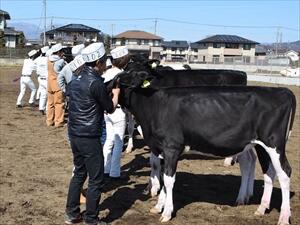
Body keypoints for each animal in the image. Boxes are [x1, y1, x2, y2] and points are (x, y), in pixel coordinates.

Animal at [116, 69, 296, 224]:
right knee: (262, 169)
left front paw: (165, 209)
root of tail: (282, 91)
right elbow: (160, 173)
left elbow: (166, 177)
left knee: (284, 173)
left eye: (124, 80)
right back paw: (255, 205)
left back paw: (283, 216)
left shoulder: (171, 148)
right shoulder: (160, 148)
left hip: (273, 143)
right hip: (255, 144)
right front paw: (157, 204)